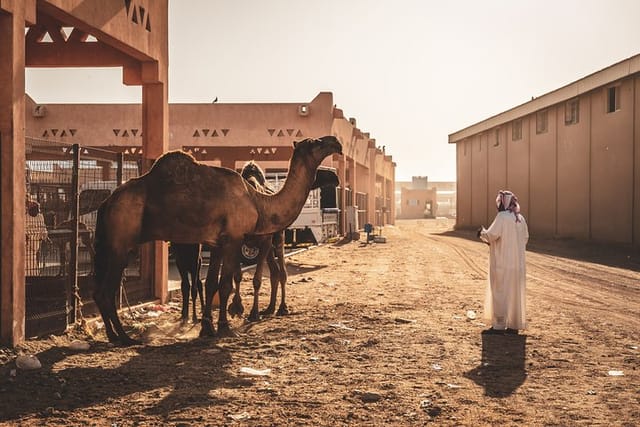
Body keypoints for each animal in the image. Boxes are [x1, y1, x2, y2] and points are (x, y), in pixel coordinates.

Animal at [93, 135, 342, 346]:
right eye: (316, 142)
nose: (336, 143)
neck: (258, 201)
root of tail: (106, 203)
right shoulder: (233, 239)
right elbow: (225, 284)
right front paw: (224, 326)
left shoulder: (216, 243)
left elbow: (211, 282)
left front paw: (207, 328)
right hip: (120, 243)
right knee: (107, 291)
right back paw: (124, 337)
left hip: (108, 245)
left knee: (101, 291)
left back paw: (113, 335)